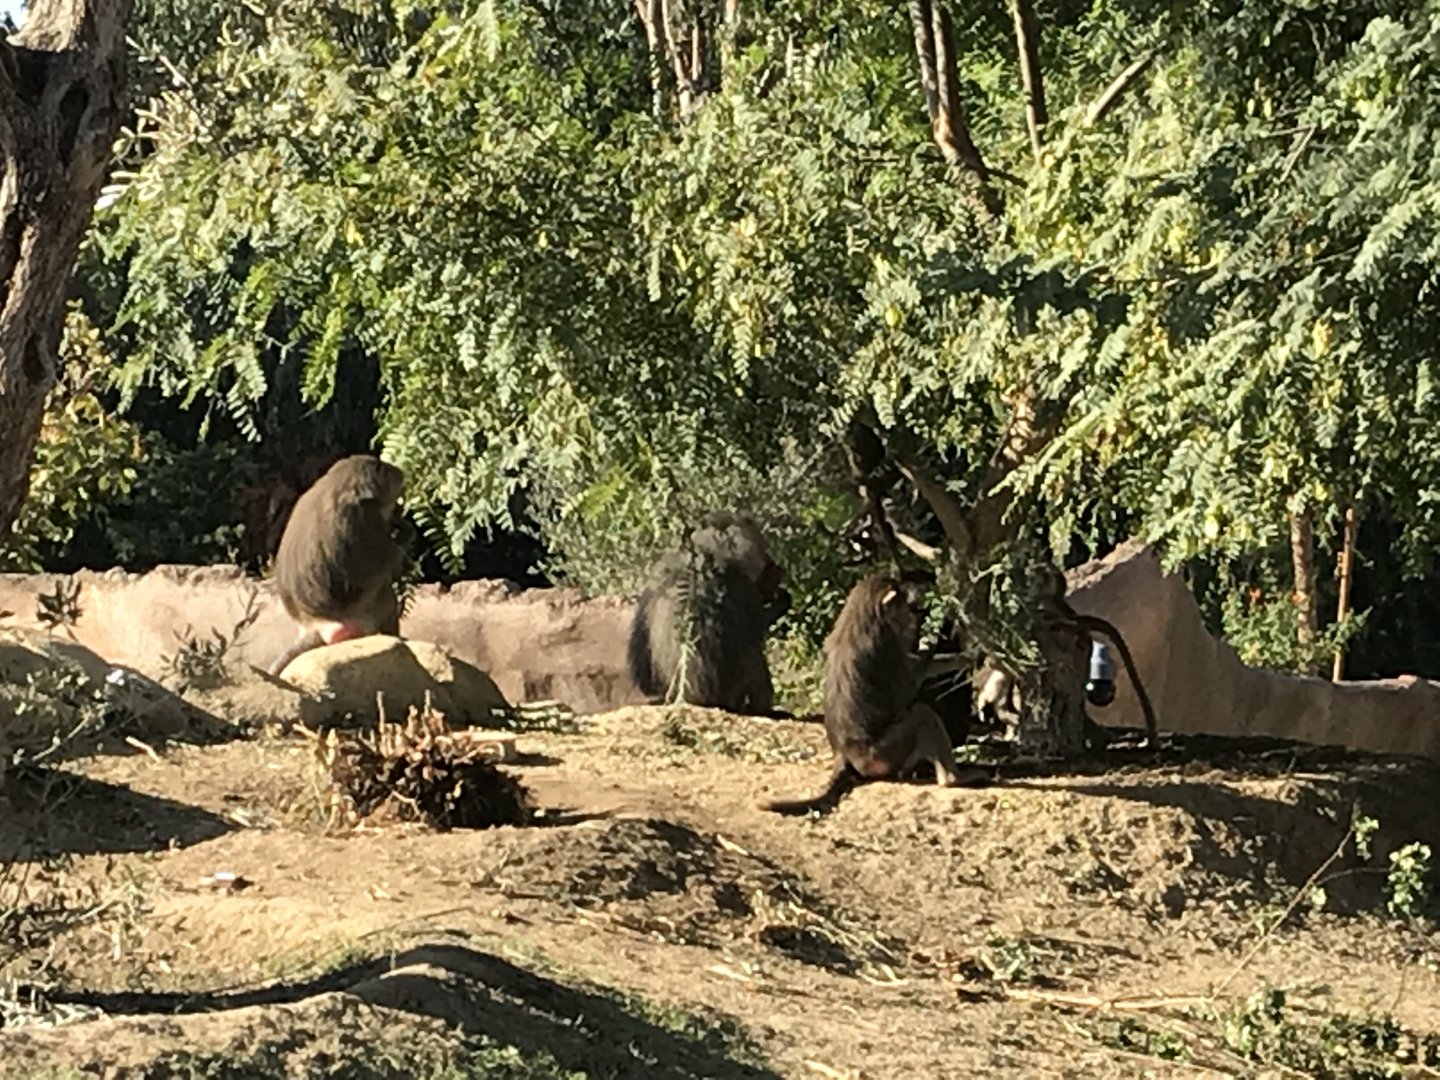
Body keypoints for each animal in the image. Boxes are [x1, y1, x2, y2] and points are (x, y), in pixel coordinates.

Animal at [266, 455, 408, 677]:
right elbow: (384, 562)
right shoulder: (365, 518)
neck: (341, 485)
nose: (400, 473)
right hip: (361, 616)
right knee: (383, 592)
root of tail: (314, 626)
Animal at [759, 574, 988, 816]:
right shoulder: (887, 644)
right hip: (885, 755)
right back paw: (954, 779)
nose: (911, 615)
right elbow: (905, 692)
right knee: (922, 714)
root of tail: (844, 754)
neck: (863, 615)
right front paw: (946, 647)